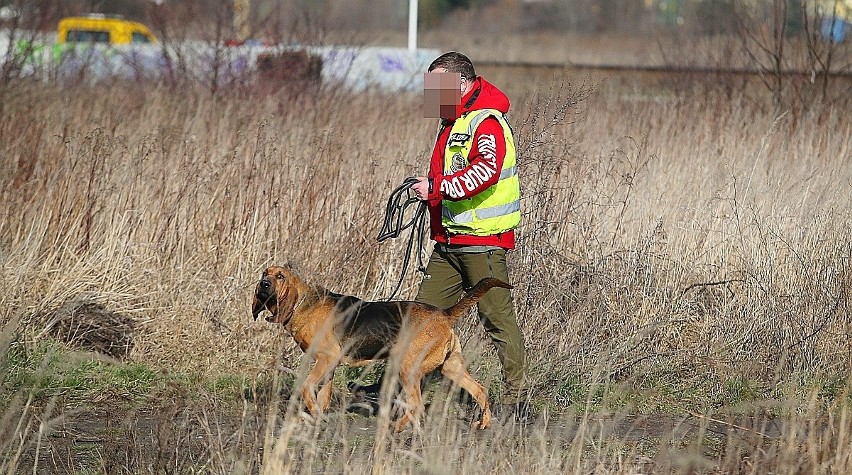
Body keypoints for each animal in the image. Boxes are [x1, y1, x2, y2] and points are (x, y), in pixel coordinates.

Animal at [250, 266, 510, 434]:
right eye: (264, 273)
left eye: (280, 276)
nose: (263, 284)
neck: (302, 303)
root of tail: (444, 315)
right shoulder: (330, 365)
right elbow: (323, 396)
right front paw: (317, 417)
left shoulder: (325, 359)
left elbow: (306, 386)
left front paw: (312, 410)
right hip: (450, 367)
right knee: (480, 390)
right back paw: (483, 424)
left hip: (407, 368)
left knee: (416, 405)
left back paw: (396, 427)